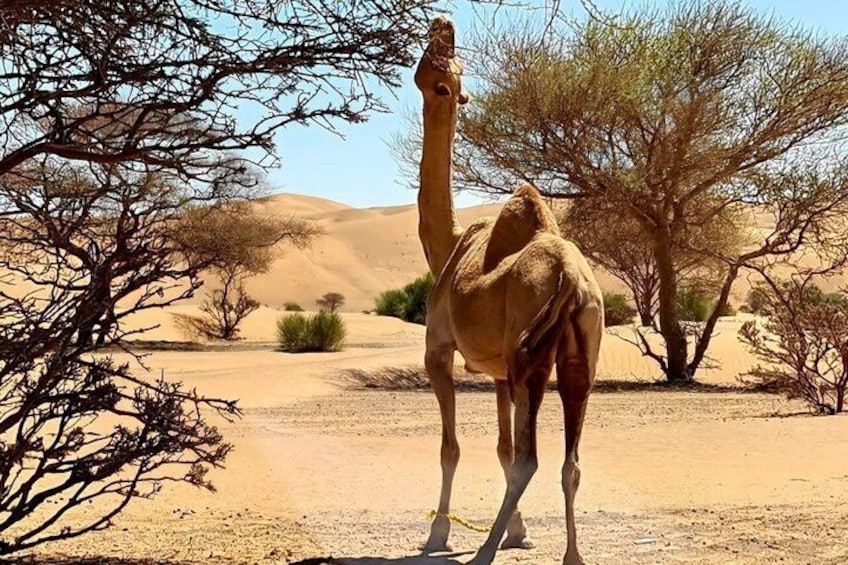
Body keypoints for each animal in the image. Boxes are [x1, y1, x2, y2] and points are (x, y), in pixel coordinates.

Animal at [413, 16, 604, 565]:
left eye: (439, 77)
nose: (443, 25)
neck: (450, 246)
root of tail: (571, 278)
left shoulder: (438, 349)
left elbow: (452, 448)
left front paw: (438, 534)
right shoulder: (499, 371)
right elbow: (500, 445)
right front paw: (519, 531)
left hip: (532, 356)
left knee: (530, 459)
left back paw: (483, 552)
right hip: (580, 353)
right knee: (568, 461)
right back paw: (572, 555)